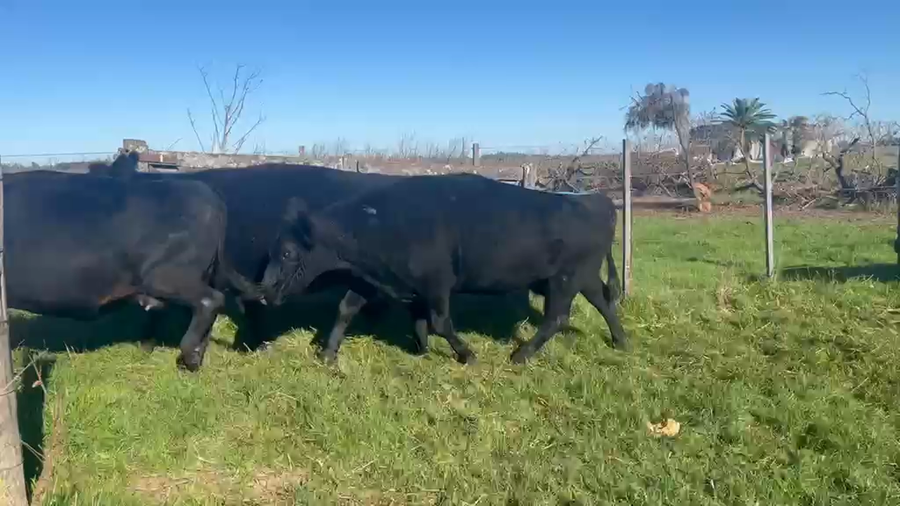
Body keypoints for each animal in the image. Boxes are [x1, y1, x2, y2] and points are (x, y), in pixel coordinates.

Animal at [259, 172, 628, 364]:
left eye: (288, 252)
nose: (264, 291)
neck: (379, 223)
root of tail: (596, 201)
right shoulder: (377, 280)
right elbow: (346, 310)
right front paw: (329, 354)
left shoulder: (437, 284)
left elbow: (439, 322)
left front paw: (466, 354)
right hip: (582, 277)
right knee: (604, 303)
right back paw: (621, 342)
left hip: (565, 279)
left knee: (557, 317)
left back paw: (521, 354)